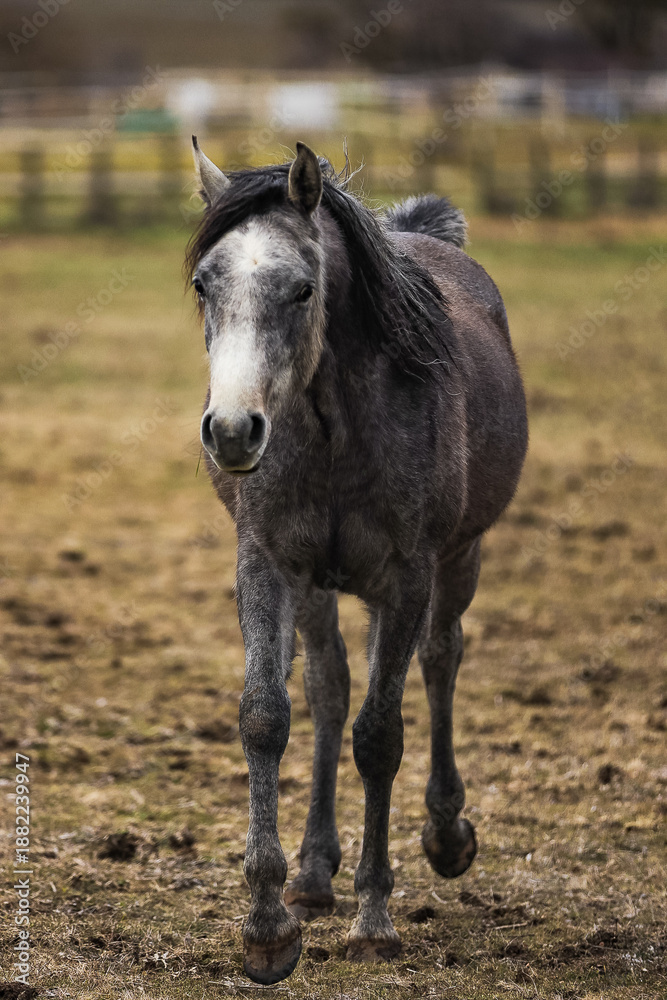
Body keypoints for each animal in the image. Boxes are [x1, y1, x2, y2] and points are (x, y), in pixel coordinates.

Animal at [185, 138, 528, 984]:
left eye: (302, 289)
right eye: (205, 283)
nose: (233, 430)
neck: (334, 427)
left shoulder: (406, 578)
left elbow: (380, 735)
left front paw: (374, 919)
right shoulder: (267, 564)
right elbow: (268, 716)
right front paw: (268, 926)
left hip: (456, 561)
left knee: (438, 662)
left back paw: (445, 835)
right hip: (320, 587)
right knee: (330, 686)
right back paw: (313, 875)